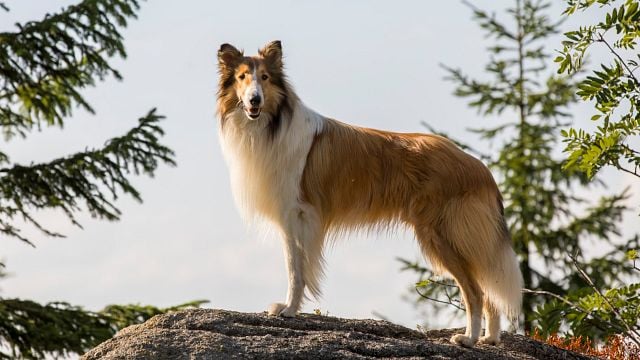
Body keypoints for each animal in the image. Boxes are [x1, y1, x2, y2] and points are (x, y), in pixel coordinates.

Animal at [218, 40, 524, 348]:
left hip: (443, 234)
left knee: (476, 291)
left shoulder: (297, 214)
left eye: (265, 78)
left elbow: (296, 269)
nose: (255, 100)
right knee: (489, 289)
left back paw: (468, 338)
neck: (273, 124)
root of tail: (480, 168)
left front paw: (288, 310)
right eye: (242, 77)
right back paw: (490, 339)